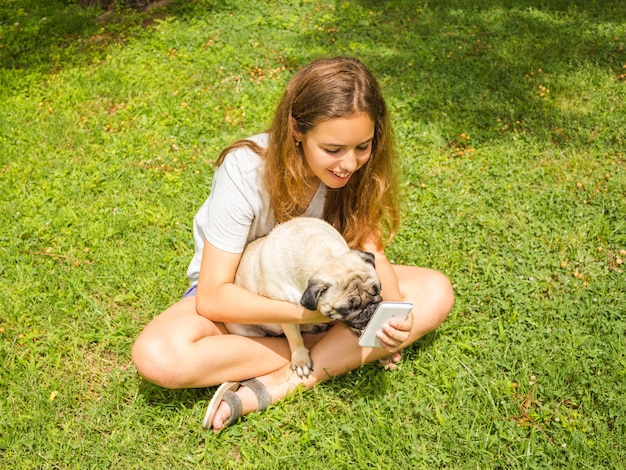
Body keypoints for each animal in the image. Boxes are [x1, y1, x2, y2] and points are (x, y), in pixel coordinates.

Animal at [224, 218, 380, 378]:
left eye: (377, 289)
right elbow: (296, 339)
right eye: (347, 308)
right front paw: (301, 361)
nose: (370, 307)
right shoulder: (283, 312)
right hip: (244, 330)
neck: (326, 255)